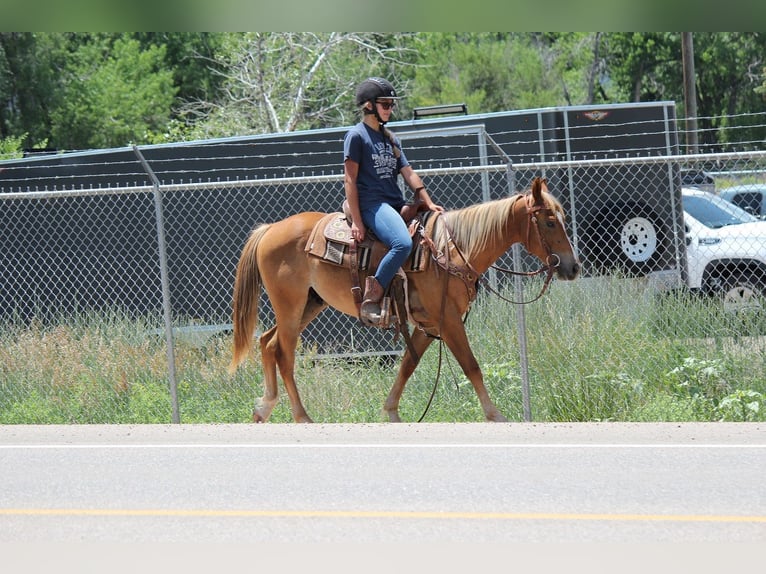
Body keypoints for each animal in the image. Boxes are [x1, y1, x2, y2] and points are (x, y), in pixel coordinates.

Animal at [229, 176, 580, 422]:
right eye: (550, 222)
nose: (573, 267)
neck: (450, 250)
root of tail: (270, 229)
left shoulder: (429, 325)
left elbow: (407, 366)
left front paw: (391, 411)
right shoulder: (449, 321)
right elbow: (472, 366)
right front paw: (495, 414)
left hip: (309, 304)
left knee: (267, 343)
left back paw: (264, 408)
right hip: (290, 306)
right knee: (284, 354)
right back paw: (302, 416)